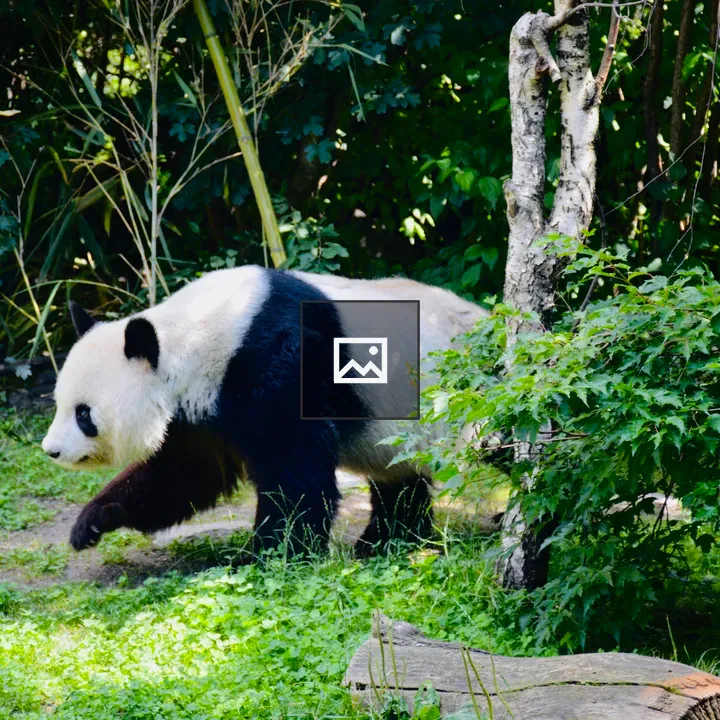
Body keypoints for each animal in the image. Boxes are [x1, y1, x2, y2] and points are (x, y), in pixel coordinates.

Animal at [42, 266, 486, 556]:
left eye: (84, 414)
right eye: (59, 403)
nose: (51, 451)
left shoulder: (278, 361)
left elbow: (295, 470)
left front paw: (271, 553)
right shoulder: (205, 409)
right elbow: (184, 474)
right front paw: (92, 521)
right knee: (399, 480)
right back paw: (385, 540)